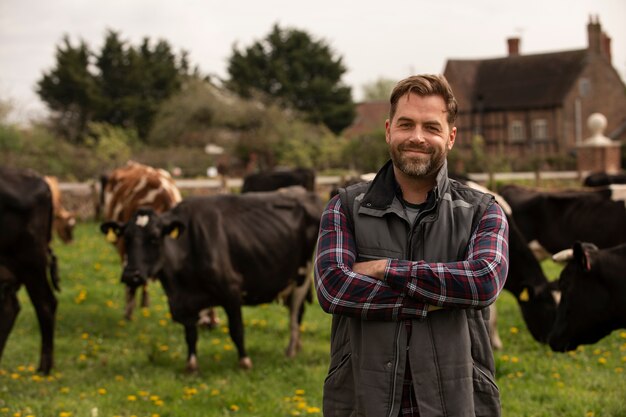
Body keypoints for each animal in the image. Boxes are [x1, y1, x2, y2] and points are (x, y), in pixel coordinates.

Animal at [98, 187, 322, 368]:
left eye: (154, 238)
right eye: (126, 238)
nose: (131, 275)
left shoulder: (231, 290)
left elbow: (236, 329)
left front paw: (244, 362)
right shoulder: (184, 302)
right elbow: (190, 334)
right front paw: (191, 364)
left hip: (302, 277)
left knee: (294, 315)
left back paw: (291, 351)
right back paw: (297, 347)